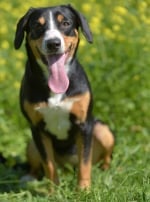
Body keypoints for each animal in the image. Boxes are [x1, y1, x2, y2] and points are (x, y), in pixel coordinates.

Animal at [14, 4, 115, 190]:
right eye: (37, 26)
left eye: (66, 23)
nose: (53, 43)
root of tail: (68, 168)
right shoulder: (37, 128)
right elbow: (49, 165)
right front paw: (53, 191)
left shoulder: (84, 124)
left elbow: (84, 163)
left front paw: (83, 190)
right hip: (31, 143)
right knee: (37, 165)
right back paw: (29, 177)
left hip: (103, 130)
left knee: (103, 159)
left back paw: (107, 172)